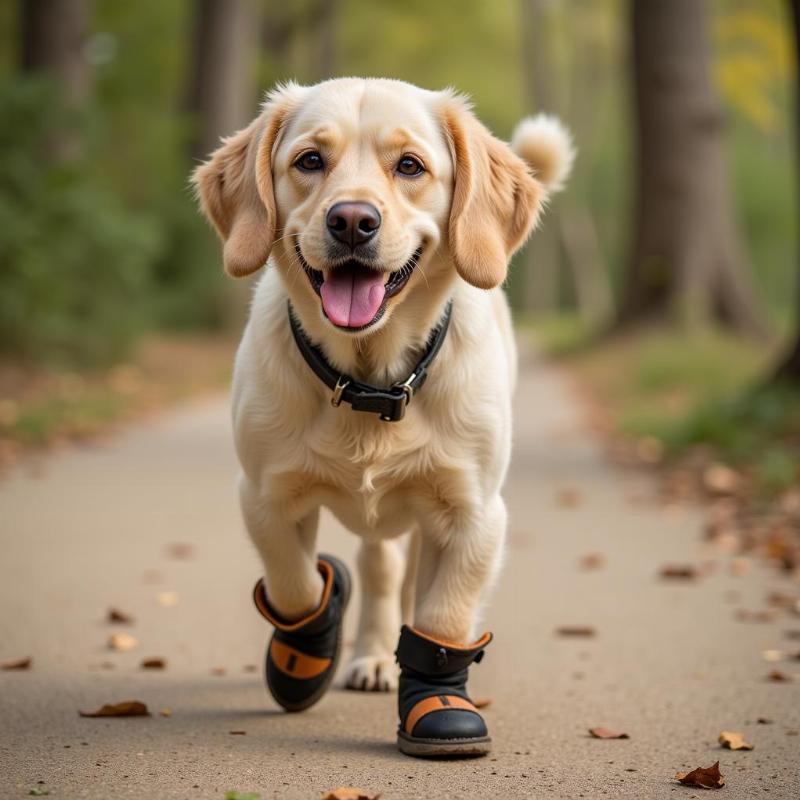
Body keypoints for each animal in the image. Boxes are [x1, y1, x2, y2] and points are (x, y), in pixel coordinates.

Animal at [193, 76, 568, 756]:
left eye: (410, 166)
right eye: (310, 160)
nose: (351, 220)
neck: (369, 382)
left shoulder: (474, 513)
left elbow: (444, 616)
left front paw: (438, 703)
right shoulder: (264, 494)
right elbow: (296, 583)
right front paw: (309, 645)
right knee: (378, 568)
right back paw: (364, 655)